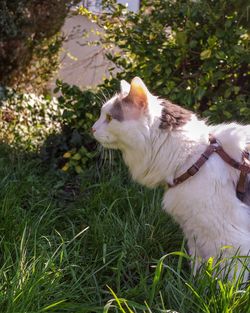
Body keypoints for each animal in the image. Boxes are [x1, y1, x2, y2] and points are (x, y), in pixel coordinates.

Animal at [92, 76, 250, 280]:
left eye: (109, 118)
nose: (92, 129)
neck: (193, 156)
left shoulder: (232, 238)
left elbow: (230, 280)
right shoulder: (194, 234)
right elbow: (198, 271)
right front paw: (195, 284)